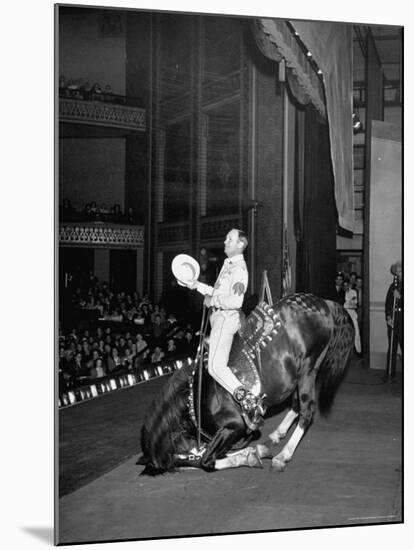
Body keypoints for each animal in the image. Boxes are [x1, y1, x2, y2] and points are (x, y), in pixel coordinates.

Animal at [137, 296, 354, 476]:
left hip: (309, 367)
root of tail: (324, 303)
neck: (196, 397)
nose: (179, 465)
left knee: (307, 410)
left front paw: (252, 455)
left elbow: (207, 460)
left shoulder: (234, 427)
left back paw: (283, 456)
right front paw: (256, 451)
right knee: (296, 403)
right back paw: (277, 434)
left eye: (163, 466)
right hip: (300, 374)